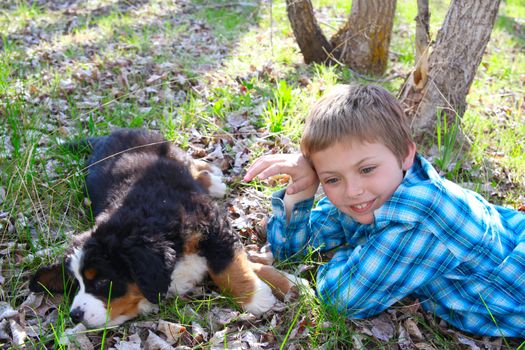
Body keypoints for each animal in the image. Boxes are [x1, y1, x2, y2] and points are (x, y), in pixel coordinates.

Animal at [28, 128, 304, 328]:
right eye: (75, 284)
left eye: (103, 281)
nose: (74, 315)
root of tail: (108, 135)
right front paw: (284, 285)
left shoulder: (212, 226)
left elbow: (230, 266)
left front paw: (260, 296)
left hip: (169, 150)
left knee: (191, 163)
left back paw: (212, 177)